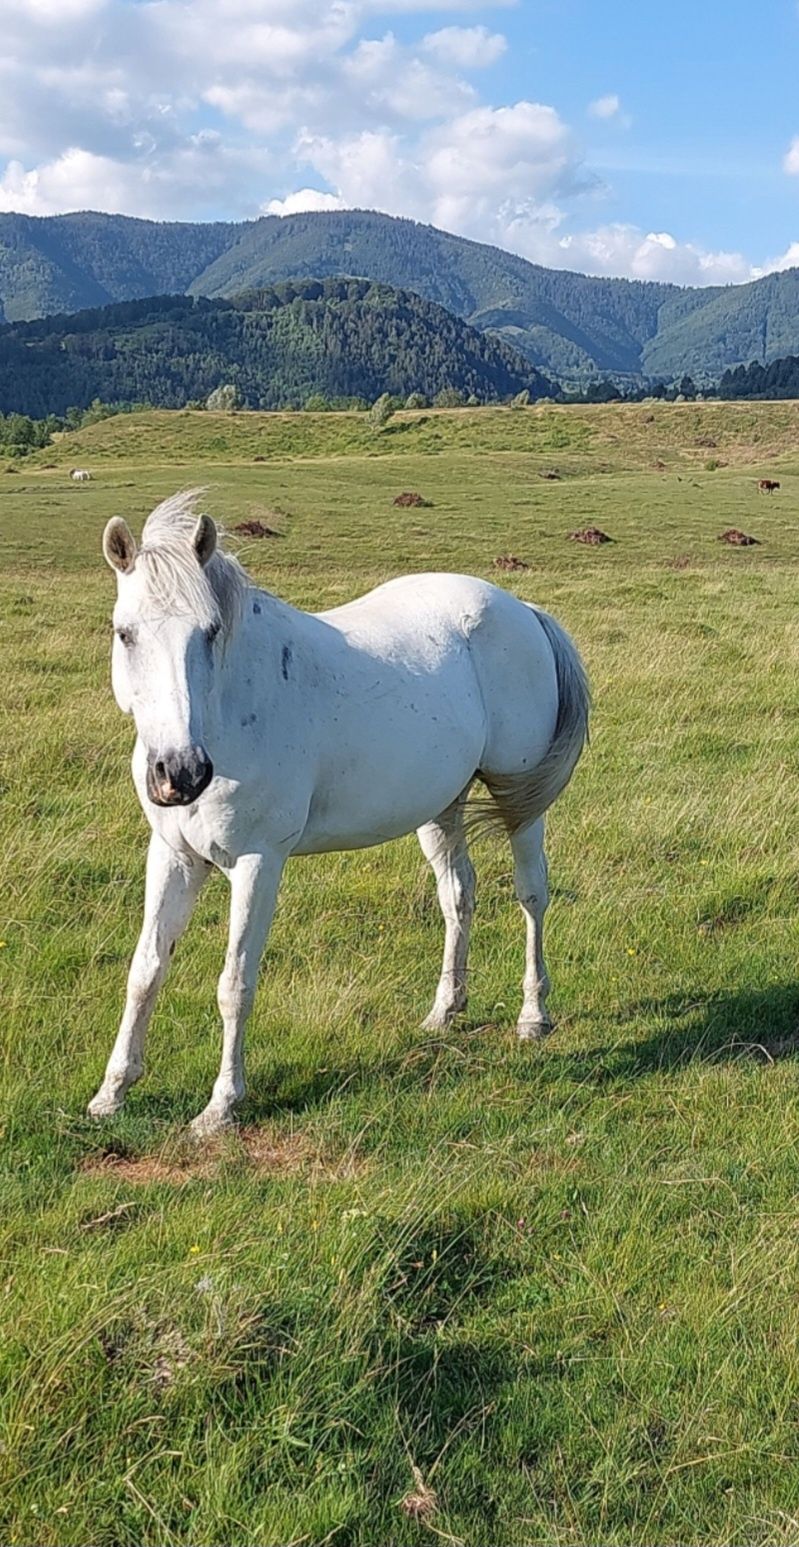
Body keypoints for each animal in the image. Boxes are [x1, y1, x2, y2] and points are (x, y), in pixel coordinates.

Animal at [89, 495, 585, 1138]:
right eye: (124, 633)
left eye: (211, 631)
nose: (181, 773)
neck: (232, 709)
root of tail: (521, 608)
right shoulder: (173, 857)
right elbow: (145, 970)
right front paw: (112, 1091)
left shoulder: (258, 863)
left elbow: (234, 983)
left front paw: (221, 1106)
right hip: (440, 808)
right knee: (458, 897)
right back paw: (444, 1012)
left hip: (518, 799)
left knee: (530, 895)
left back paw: (532, 1015)